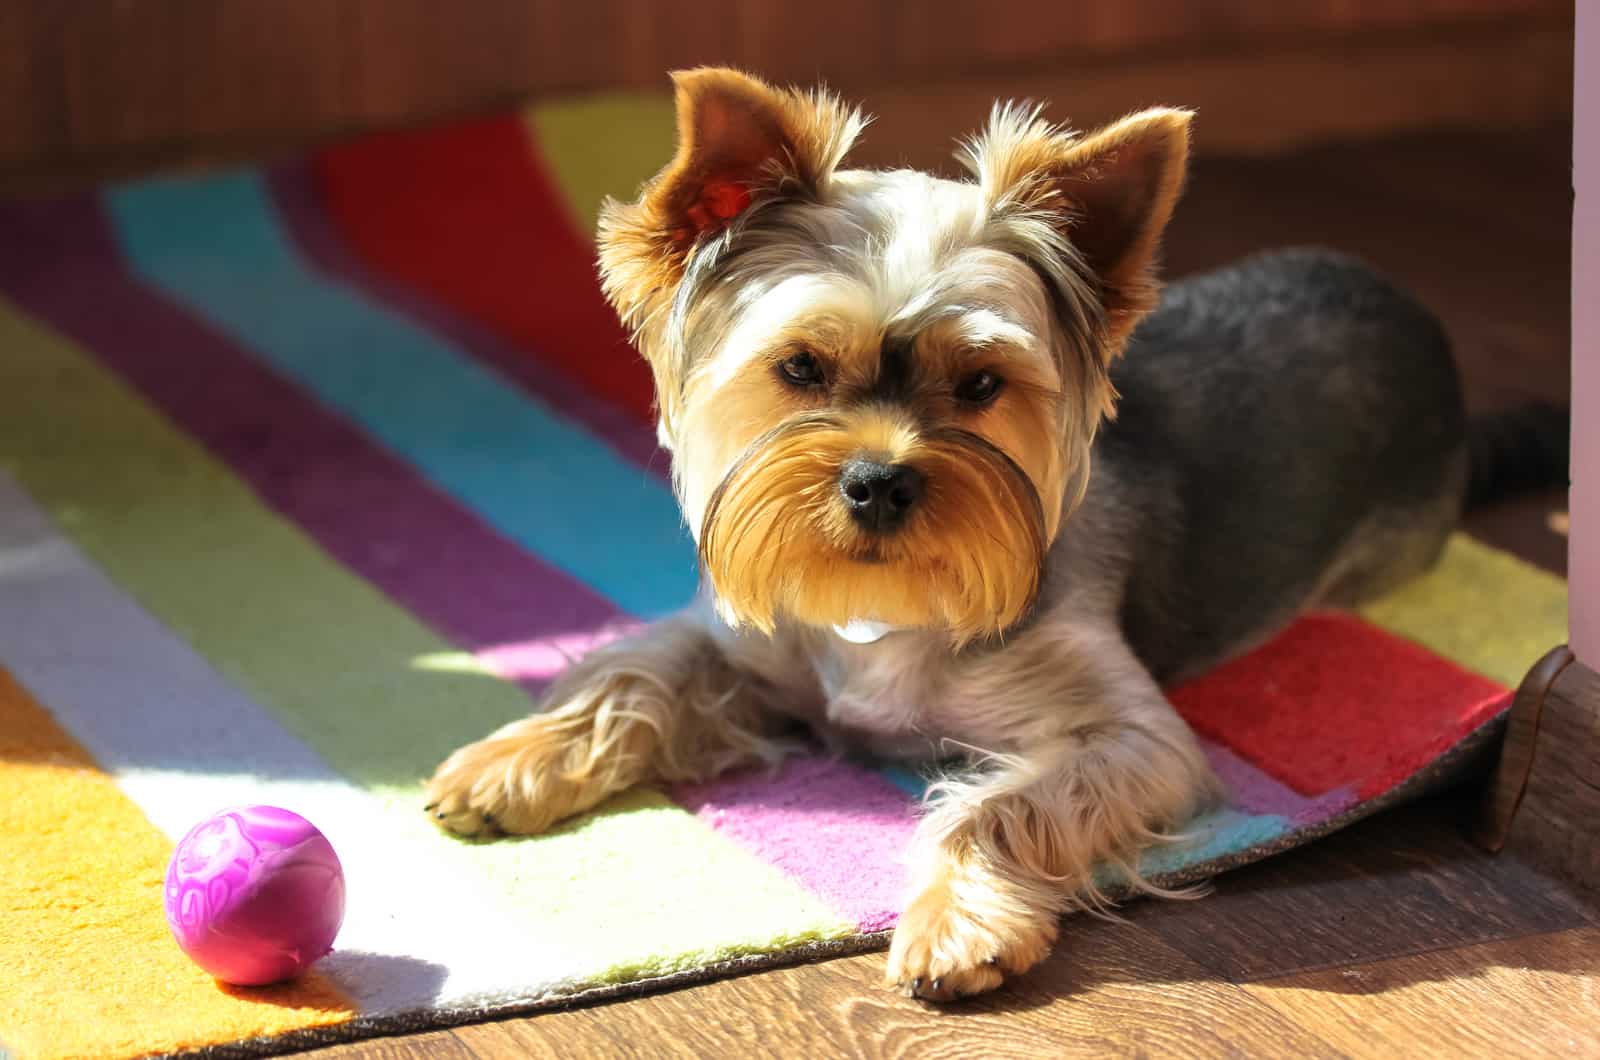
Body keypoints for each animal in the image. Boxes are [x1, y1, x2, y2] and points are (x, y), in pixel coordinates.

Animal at [425, 68, 1561, 1005]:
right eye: (800, 367)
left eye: (980, 383)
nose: (879, 479)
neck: (879, 606)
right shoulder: (744, 635)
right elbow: (636, 666)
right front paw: (510, 762)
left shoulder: (1131, 737)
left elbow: (992, 804)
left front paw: (957, 928)